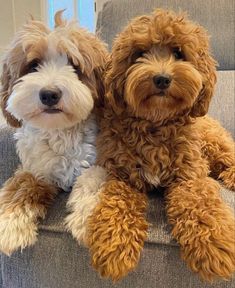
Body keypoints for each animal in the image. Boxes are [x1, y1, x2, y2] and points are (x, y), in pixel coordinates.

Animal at [0, 10, 107, 256]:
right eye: (33, 66)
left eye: (75, 66)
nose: (49, 94)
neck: (61, 132)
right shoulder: (36, 169)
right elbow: (21, 185)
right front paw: (9, 224)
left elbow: (92, 177)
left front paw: (87, 220)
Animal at [65, 9, 235, 284]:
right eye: (140, 53)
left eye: (178, 52)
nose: (162, 79)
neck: (155, 123)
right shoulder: (123, 176)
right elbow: (117, 205)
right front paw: (114, 246)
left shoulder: (189, 176)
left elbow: (201, 203)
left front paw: (214, 245)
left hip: (213, 142)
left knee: (229, 157)